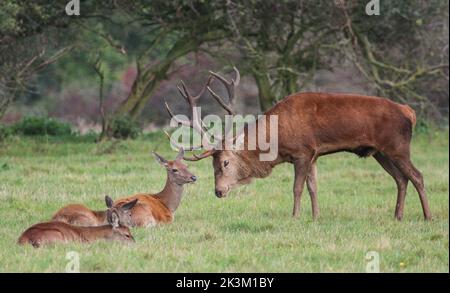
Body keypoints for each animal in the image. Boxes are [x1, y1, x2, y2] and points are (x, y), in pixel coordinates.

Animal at [165, 67, 432, 220]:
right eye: (212, 165)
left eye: (226, 163)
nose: (218, 191)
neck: (277, 140)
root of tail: (409, 112)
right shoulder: (314, 155)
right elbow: (313, 187)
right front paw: (315, 217)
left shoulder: (302, 152)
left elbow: (297, 188)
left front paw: (294, 217)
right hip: (380, 152)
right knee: (401, 179)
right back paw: (397, 216)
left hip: (398, 146)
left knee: (417, 176)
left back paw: (427, 216)